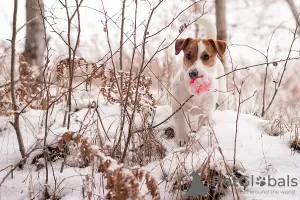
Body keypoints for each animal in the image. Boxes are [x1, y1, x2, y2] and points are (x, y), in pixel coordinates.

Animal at [171, 15, 227, 146]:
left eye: (206, 56)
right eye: (188, 55)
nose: (193, 73)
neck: (196, 87)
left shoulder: (206, 111)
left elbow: (202, 125)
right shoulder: (178, 106)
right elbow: (180, 123)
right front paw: (181, 138)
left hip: (222, 93)